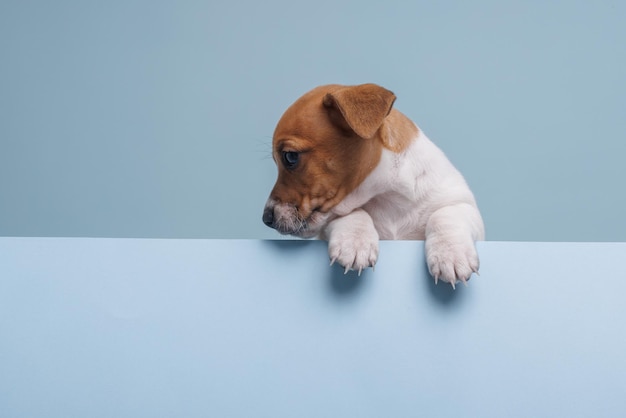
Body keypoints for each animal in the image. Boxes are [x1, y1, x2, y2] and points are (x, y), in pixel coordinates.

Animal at [260, 85, 486, 288]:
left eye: (290, 157)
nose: (266, 219)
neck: (386, 196)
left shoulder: (463, 205)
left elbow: (444, 215)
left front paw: (451, 255)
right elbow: (352, 214)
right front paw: (353, 242)